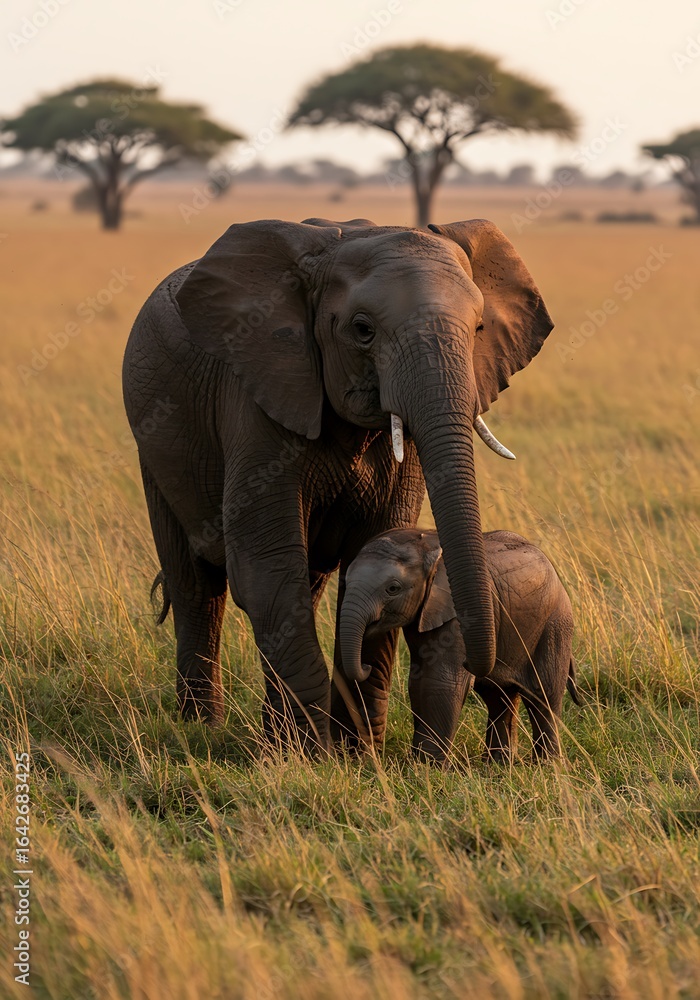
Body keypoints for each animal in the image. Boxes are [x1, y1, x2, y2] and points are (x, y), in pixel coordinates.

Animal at [122, 216, 553, 752]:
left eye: (478, 329)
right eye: (362, 330)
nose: (485, 668)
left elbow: (373, 548)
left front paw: (358, 751)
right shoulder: (257, 396)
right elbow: (265, 568)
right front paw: (312, 755)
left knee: (304, 584)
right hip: (155, 444)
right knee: (197, 586)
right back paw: (202, 726)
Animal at [339, 528, 578, 762]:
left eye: (393, 588)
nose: (367, 666)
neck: (429, 550)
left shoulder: (458, 616)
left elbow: (441, 681)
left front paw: (427, 766)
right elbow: (419, 681)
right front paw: (419, 761)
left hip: (555, 624)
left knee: (543, 695)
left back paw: (548, 764)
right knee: (498, 696)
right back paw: (498, 764)